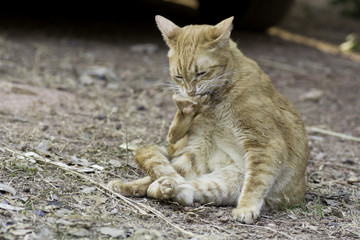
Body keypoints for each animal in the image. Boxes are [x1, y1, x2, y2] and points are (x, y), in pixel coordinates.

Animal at [108, 15, 308, 224]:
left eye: (201, 73)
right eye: (178, 76)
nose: (190, 92)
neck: (217, 101)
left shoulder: (265, 144)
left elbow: (256, 181)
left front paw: (246, 208)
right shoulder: (200, 144)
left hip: (223, 184)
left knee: (182, 187)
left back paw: (165, 187)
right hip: (196, 162)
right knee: (162, 179)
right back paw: (140, 186)